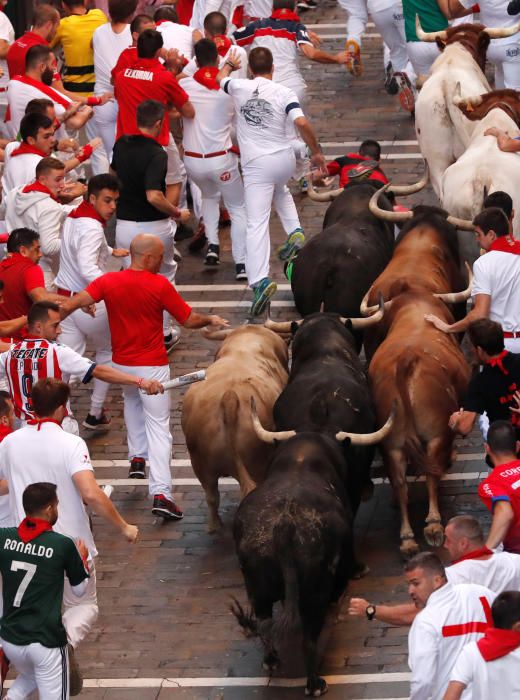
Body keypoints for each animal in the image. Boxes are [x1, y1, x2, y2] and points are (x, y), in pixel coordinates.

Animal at [368, 286, 470, 556]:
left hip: (392, 443)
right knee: (431, 475)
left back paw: (407, 539)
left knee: (399, 483)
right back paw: (433, 525)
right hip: (436, 434)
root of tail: (408, 358)